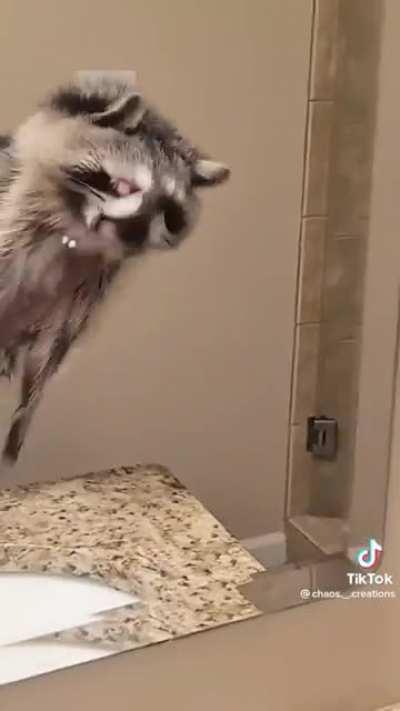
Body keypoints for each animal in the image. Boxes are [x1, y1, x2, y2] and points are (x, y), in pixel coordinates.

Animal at [0, 70, 229, 463]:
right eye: (122, 186)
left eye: (169, 215)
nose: (133, 235)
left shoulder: (89, 285)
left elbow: (53, 346)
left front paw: (25, 410)